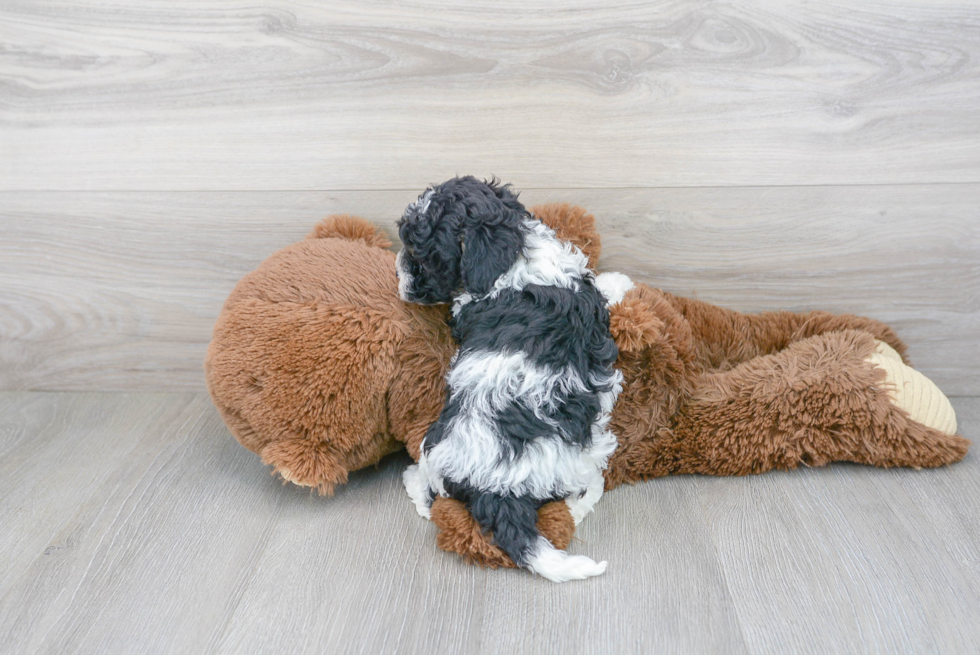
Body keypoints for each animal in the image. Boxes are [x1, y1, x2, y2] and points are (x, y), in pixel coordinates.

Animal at [394, 176, 632, 584]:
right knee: (585, 491)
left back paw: (412, 480)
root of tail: (500, 491)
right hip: (583, 453)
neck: (513, 257)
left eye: (421, 257)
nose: (398, 272)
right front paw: (618, 281)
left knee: (433, 493)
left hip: (436, 443)